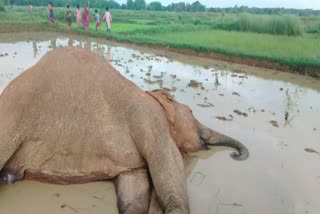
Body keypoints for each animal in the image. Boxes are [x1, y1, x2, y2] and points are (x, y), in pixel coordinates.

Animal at [0, 47, 249, 214]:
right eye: (191, 112)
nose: (234, 155)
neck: (151, 96)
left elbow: (134, 185)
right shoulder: (148, 118)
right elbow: (167, 166)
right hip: (11, 118)